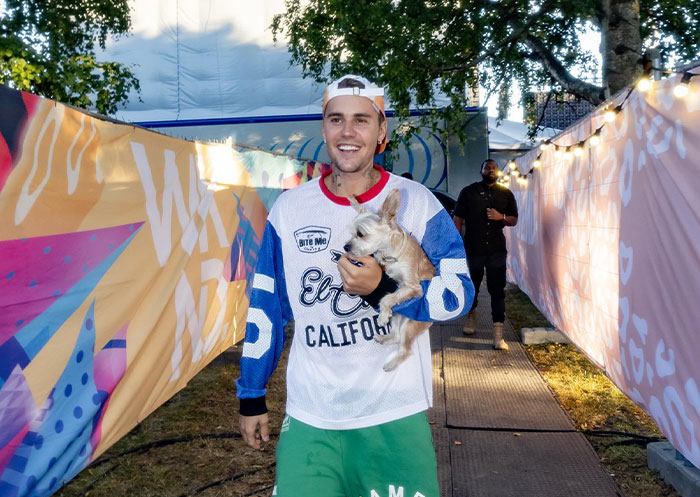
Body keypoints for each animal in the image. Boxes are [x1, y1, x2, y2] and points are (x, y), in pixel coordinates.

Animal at [344, 189, 435, 371]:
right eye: (351, 234)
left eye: (360, 234)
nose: (346, 247)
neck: (389, 254)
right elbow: (389, 296)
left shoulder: (413, 287)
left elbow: (388, 298)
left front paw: (381, 316)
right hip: (397, 316)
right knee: (396, 336)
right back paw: (383, 337)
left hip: (409, 324)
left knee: (405, 349)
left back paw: (391, 364)